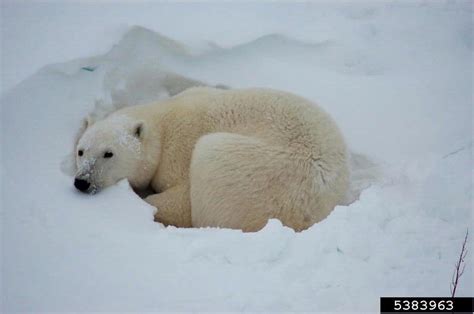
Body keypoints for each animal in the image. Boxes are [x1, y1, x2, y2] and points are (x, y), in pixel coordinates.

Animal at [72, 87, 350, 232]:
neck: (162, 123)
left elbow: (182, 204)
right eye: (81, 151)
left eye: (108, 153)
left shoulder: (179, 152)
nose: (82, 181)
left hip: (254, 173)